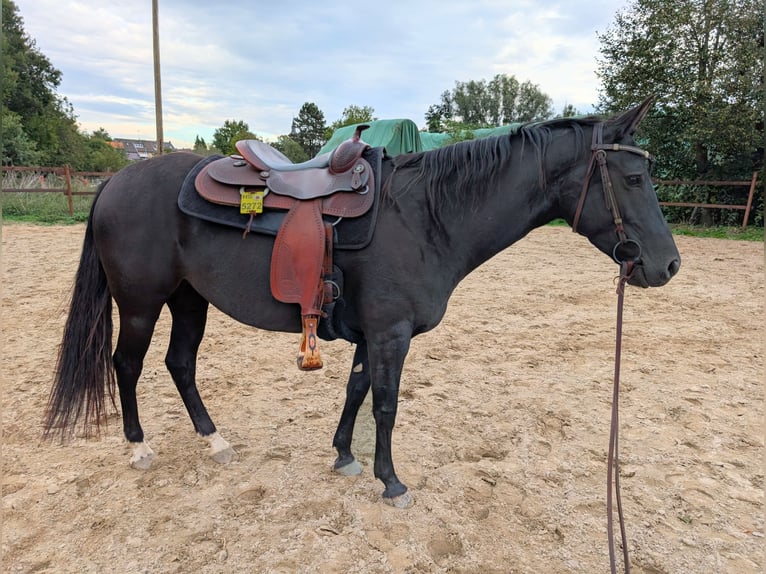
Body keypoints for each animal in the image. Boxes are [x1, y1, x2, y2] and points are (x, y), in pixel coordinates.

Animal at [44, 96, 680, 508]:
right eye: (632, 178)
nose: (668, 265)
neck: (426, 218)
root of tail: (117, 180)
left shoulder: (371, 335)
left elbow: (355, 392)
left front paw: (345, 457)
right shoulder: (391, 334)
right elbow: (387, 405)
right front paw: (391, 482)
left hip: (189, 302)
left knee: (179, 364)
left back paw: (215, 440)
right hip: (142, 304)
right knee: (126, 365)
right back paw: (139, 449)